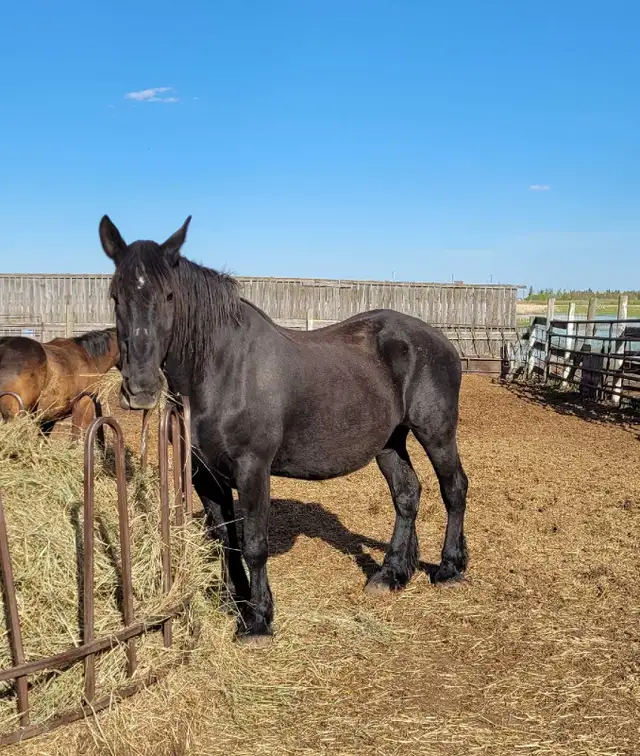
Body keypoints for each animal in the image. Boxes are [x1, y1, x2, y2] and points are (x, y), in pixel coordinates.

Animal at [100, 215, 469, 645]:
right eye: (115, 296)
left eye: (170, 295)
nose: (139, 388)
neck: (224, 370)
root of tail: (439, 339)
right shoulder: (205, 474)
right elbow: (226, 541)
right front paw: (237, 603)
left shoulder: (252, 469)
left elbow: (254, 544)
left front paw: (258, 620)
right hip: (390, 443)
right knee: (407, 494)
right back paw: (391, 573)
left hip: (436, 432)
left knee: (454, 489)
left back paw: (449, 567)